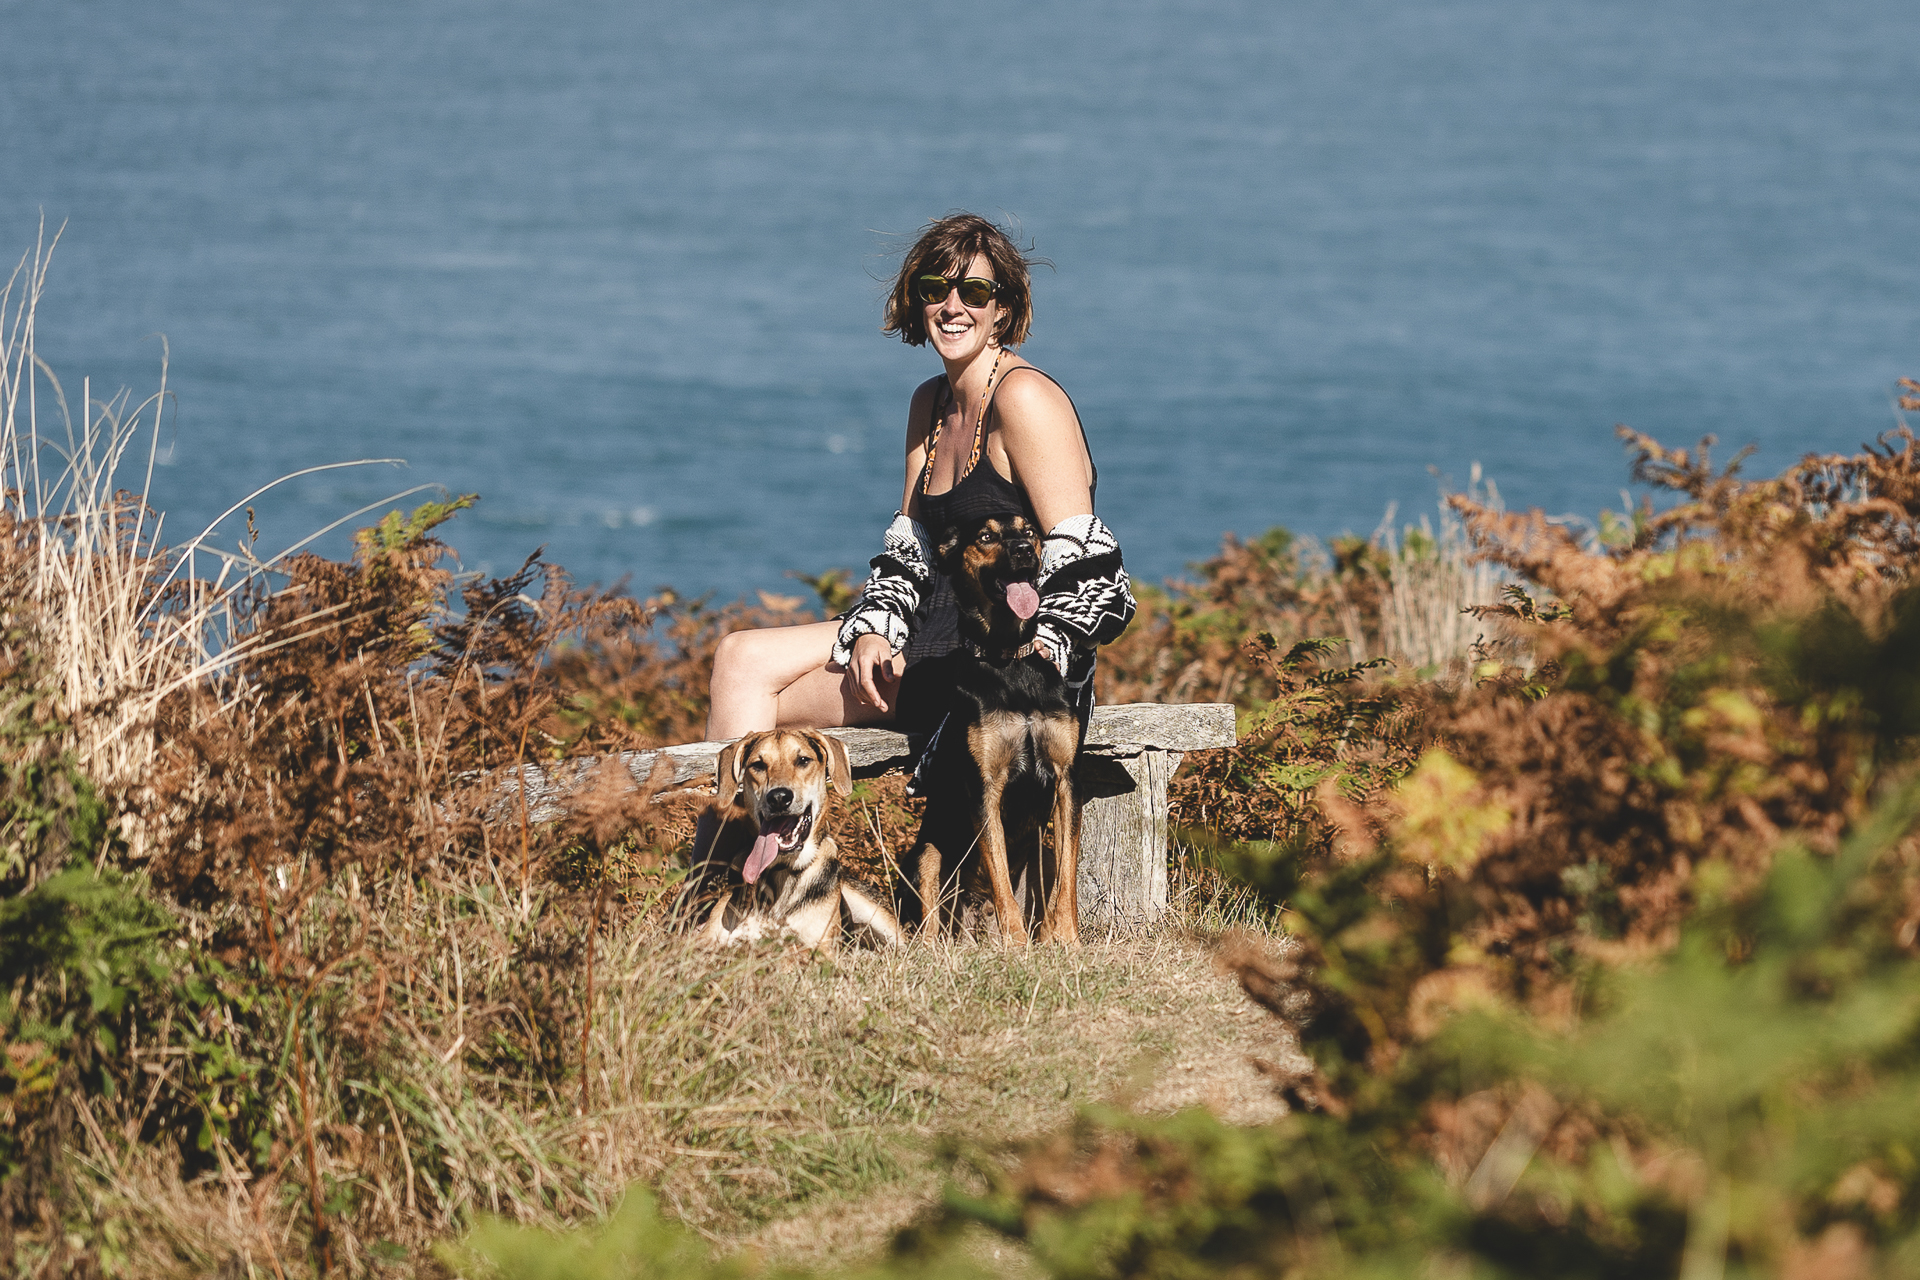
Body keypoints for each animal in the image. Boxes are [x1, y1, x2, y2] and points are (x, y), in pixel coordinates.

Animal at [692, 729, 903, 955]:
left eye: (803, 760)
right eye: (758, 765)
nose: (778, 798)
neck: (782, 869)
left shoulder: (821, 949)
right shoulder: (705, 943)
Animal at [894, 513, 1082, 946]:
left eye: (1029, 532)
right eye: (985, 537)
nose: (1024, 550)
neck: (1010, 658)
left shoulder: (1065, 780)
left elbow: (1067, 876)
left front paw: (1068, 939)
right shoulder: (985, 786)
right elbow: (998, 872)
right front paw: (1015, 943)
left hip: (1039, 855)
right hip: (925, 855)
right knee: (930, 919)